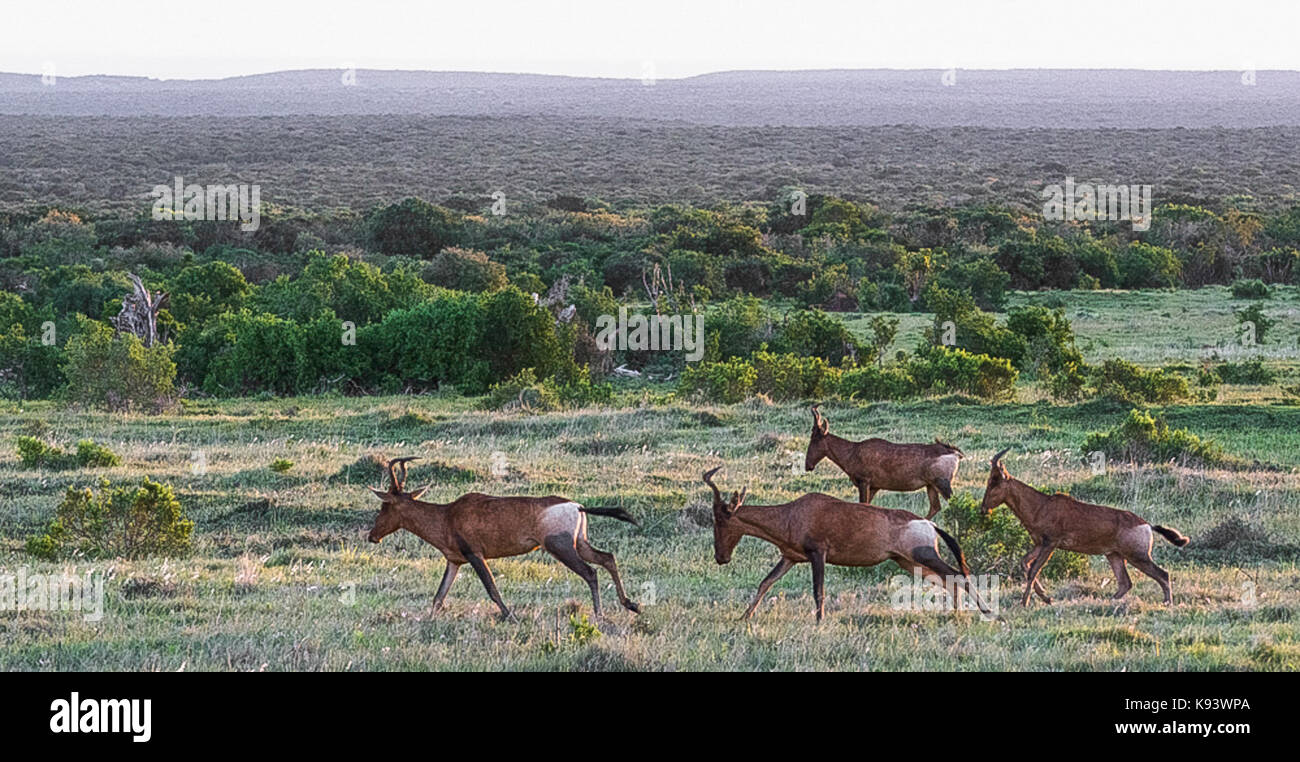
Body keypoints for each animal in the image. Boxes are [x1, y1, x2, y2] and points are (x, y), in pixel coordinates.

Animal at [366, 457, 639, 616]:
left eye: (384, 505)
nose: (372, 536)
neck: (447, 514)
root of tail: (577, 506)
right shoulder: (455, 561)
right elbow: (439, 597)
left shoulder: (475, 555)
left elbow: (492, 589)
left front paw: (511, 617)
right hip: (580, 544)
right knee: (607, 558)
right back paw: (631, 605)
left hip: (561, 548)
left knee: (591, 573)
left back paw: (600, 616)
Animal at [702, 465, 993, 618]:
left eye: (720, 520)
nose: (721, 557)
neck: (794, 512)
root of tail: (930, 524)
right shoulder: (790, 558)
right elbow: (765, 583)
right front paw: (743, 618)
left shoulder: (818, 554)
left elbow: (818, 591)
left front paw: (819, 623)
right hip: (909, 563)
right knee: (948, 580)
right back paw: (954, 614)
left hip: (924, 556)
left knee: (959, 575)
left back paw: (986, 611)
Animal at [806, 400, 961, 520]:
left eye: (814, 437)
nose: (808, 466)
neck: (854, 450)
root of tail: (953, 452)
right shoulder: (874, 487)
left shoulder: (864, 482)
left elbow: (863, 505)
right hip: (931, 486)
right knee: (935, 507)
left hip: (942, 484)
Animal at [977, 444, 1190, 605]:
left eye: (995, 480)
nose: (983, 509)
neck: (1042, 505)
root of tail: (1146, 524)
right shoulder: (1039, 544)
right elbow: (1025, 563)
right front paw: (1046, 598)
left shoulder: (1050, 544)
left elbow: (1033, 570)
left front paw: (1026, 602)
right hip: (1114, 555)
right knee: (1125, 583)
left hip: (1137, 556)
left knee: (1163, 574)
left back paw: (1167, 603)